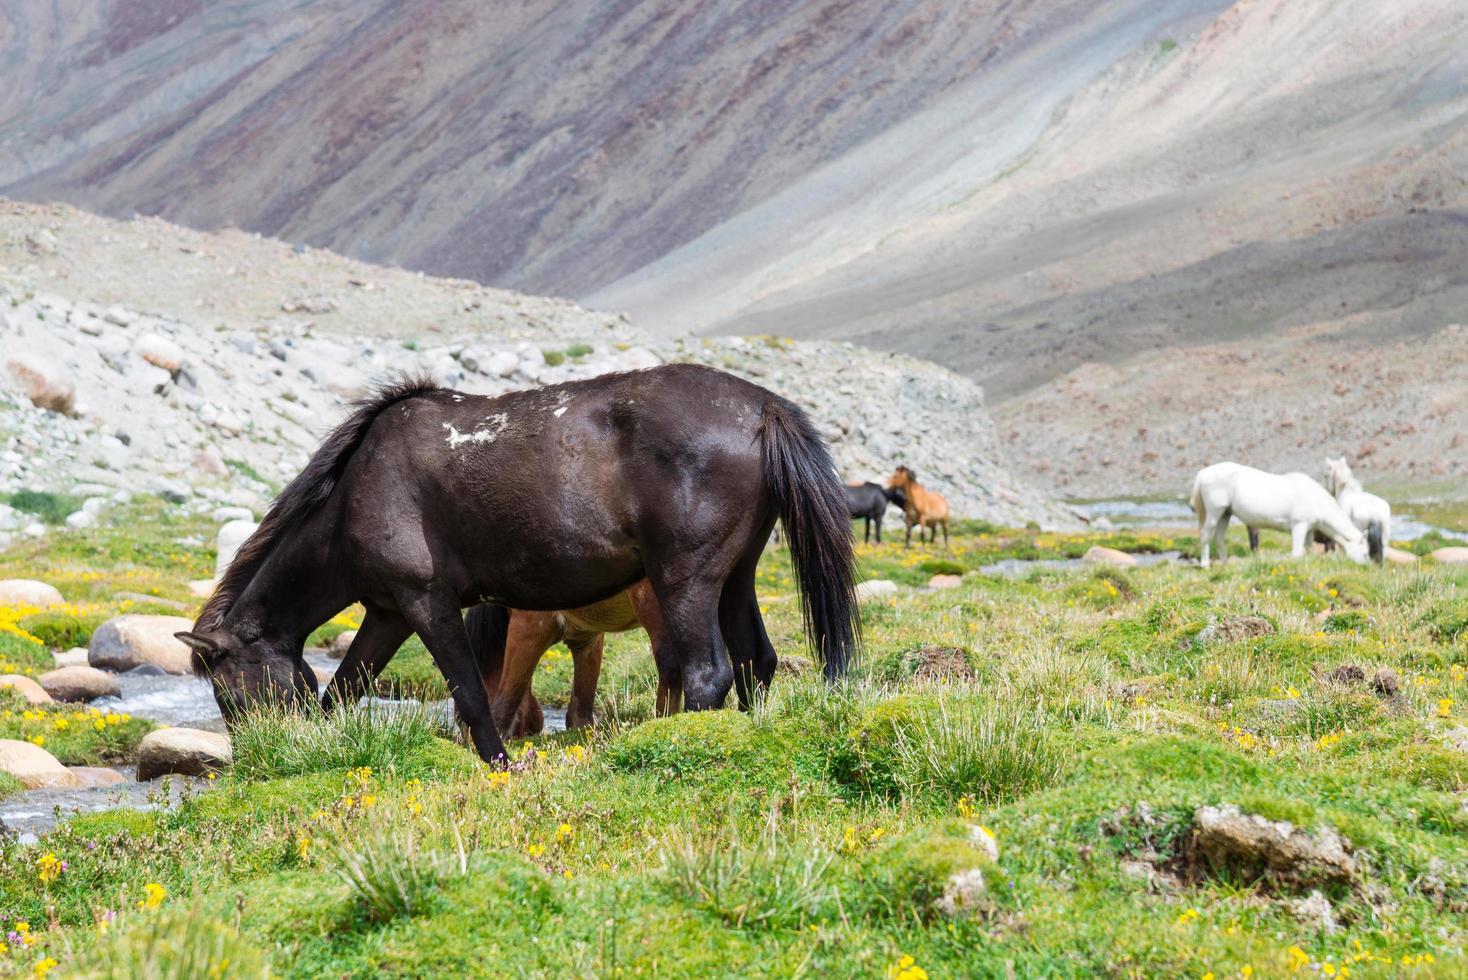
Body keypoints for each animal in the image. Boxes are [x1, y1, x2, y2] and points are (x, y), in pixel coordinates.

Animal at [1186, 463, 1368, 569]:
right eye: (1365, 552)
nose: (1367, 566)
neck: (1316, 499)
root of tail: (1202, 474)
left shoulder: (1309, 530)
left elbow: (1308, 550)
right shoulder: (1299, 526)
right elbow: (1297, 552)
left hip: (1226, 513)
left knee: (1218, 537)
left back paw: (1224, 564)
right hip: (1214, 512)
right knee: (1205, 536)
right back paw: (1205, 564)